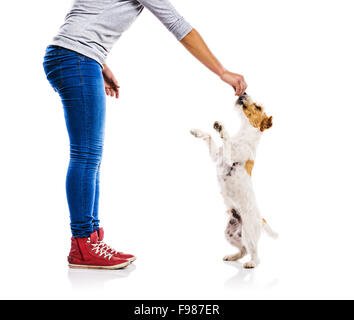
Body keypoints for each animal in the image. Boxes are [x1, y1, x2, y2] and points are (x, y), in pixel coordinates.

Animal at [189, 92, 278, 268]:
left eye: (258, 107)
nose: (243, 92)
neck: (243, 136)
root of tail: (261, 218)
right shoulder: (216, 156)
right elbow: (210, 136)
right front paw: (198, 132)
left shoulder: (229, 160)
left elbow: (227, 140)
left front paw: (223, 129)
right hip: (230, 233)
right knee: (242, 250)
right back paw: (232, 257)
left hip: (248, 232)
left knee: (255, 254)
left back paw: (251, 263)